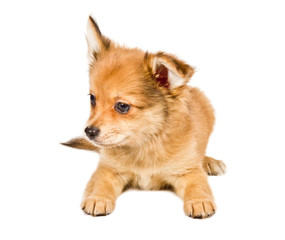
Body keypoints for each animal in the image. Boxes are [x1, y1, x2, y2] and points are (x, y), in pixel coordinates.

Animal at [62, 16, 226, 219]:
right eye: (92, 99)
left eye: (122, 106)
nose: (89, 132)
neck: (145, 143)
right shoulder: (107, 169)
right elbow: (101, 182)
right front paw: (97, 198)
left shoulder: (188, 171)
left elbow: (198, 184)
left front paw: (199, 202)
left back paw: (210, 162)